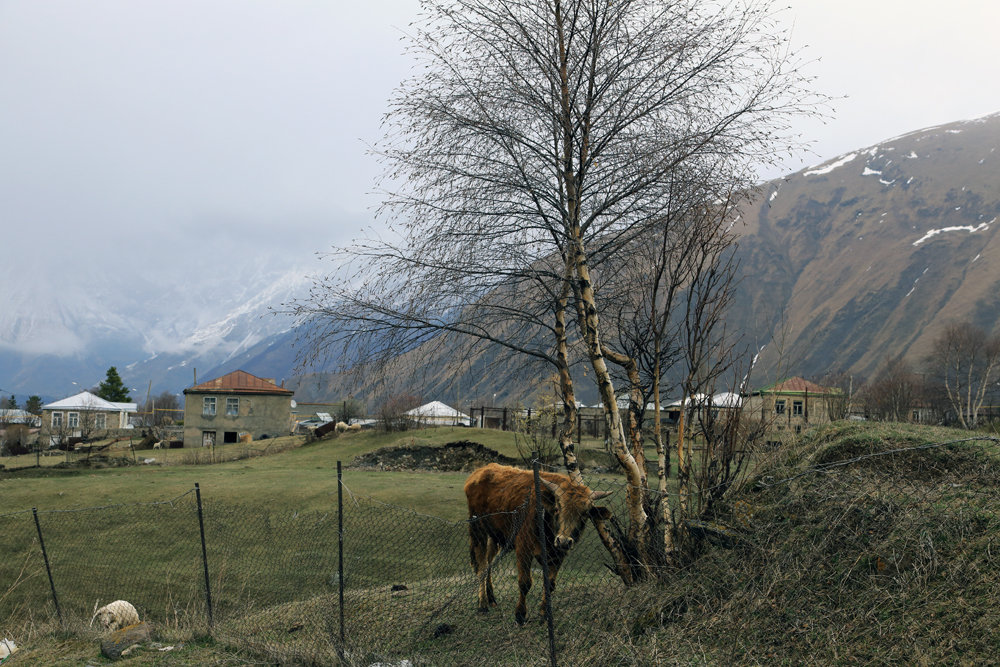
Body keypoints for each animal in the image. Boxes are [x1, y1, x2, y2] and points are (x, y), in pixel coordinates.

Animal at [464, 462, 612, 624]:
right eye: (557, 508)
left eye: (584, 514)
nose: (564, 541)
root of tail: (481, 470)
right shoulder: (523, 548)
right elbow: (525, 583)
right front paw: (520, 615)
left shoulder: (558, 555)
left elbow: (550, 584)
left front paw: (543, 614)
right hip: (478, 530)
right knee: (482, 566)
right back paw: (482, 604)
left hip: (495, 536)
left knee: (489, 562)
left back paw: (491, 598)